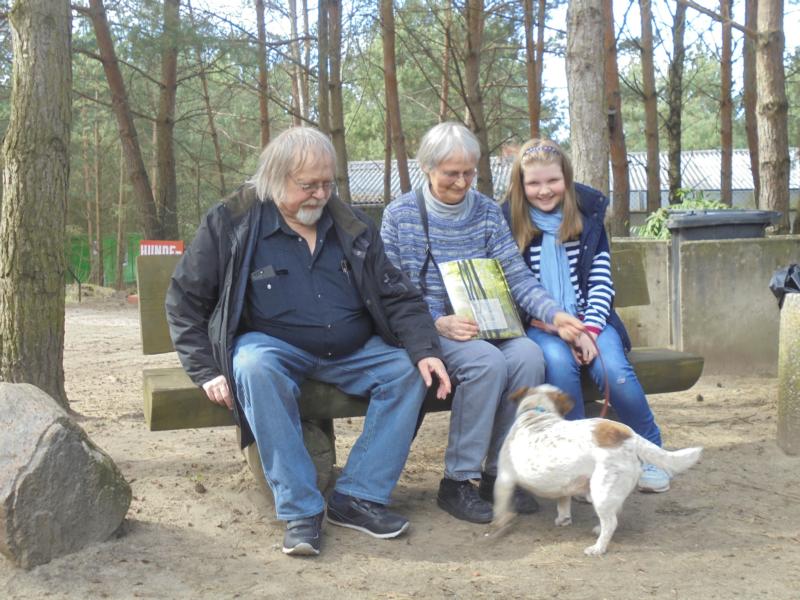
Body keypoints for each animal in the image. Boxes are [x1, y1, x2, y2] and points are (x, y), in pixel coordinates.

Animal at [492, 384, 702, 556]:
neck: (538, 412)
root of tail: (629, 435)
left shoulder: (503, 479)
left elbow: (500, 507)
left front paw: (499, 525)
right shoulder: (563, 485)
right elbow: (563, 504)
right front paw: (563, 519)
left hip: (601, 491)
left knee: (611, 523)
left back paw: (598, 548)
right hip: (608, 492)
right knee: (614, 514)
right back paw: (598, 530)